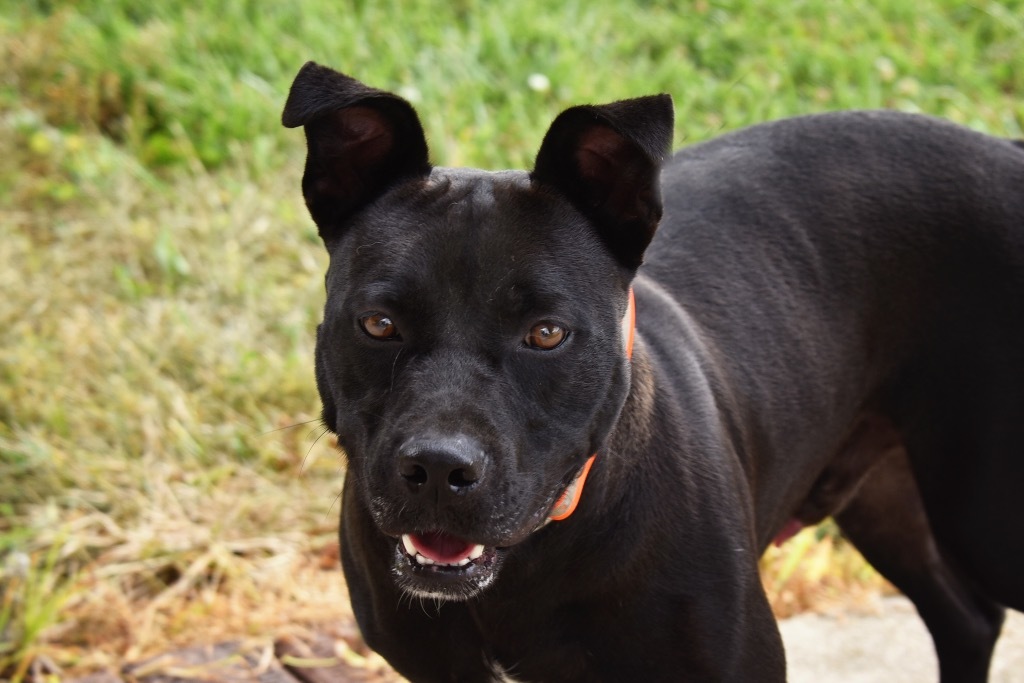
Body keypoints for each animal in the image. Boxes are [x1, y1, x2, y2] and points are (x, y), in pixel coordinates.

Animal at [284, 61, 1024, 679]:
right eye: (378, 324)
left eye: (546, 334)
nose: (439, 468)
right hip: (886, 494)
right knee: (966, 617)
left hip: (985, 520)